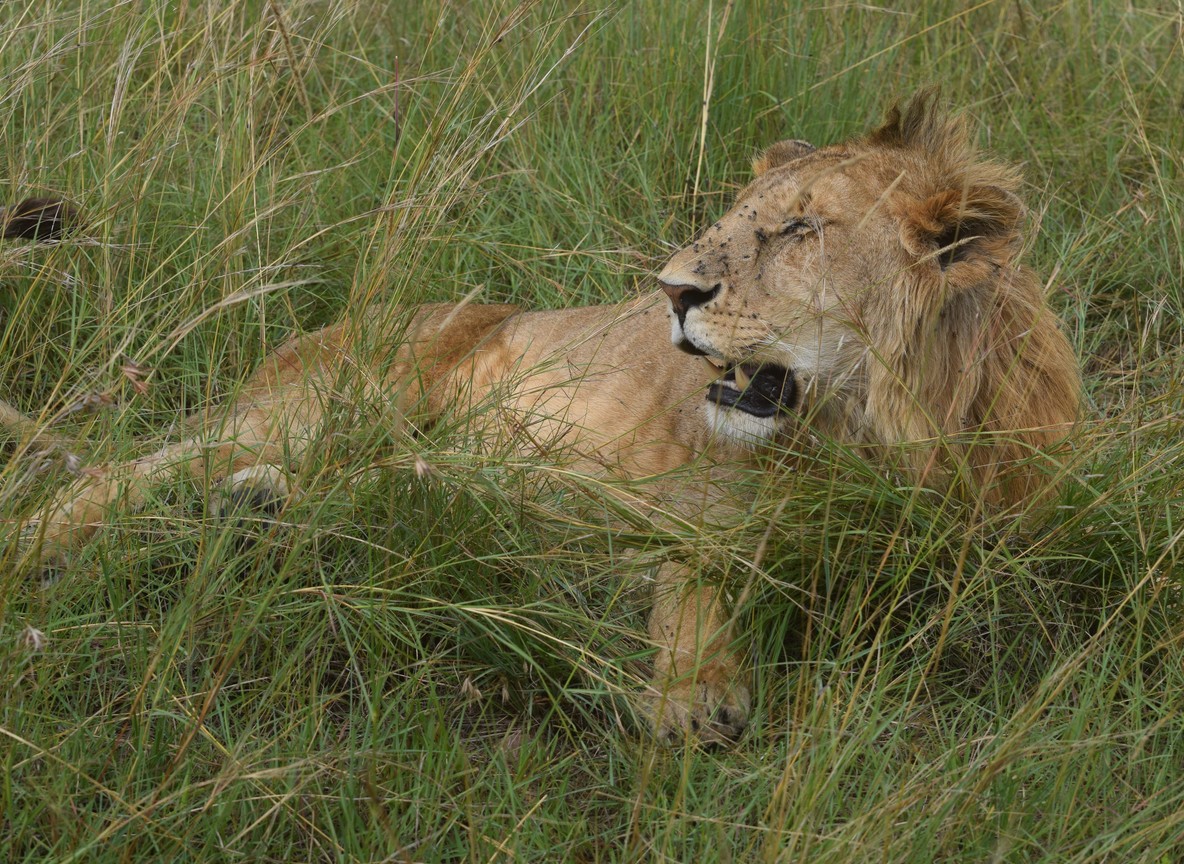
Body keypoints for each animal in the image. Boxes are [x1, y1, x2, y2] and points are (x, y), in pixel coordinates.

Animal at [19, 92, 1081, 743]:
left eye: (799, 230)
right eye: (743, 215)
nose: (671, 291)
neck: (881, 437)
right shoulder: (703, 518)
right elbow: (695, 586)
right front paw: (696, 696)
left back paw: (260, 515)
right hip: (331, 403)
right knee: (126, 474)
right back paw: (39, 549)